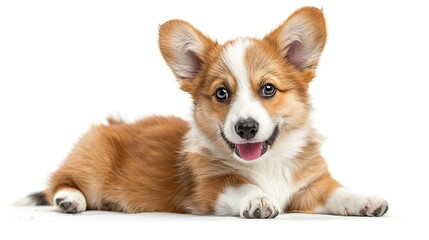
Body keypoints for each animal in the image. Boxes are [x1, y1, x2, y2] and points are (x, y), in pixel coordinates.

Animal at [20, 7, 388, 218]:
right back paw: (70, 199)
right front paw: (259, 200)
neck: (267, 163)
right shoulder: (211, 187)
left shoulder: (309, 187)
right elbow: (241, 185)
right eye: (221, 93)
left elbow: (339, 192)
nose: (245, 128)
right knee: (58, 182)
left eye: (268, 89)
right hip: (92, 159)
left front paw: (365, 200)